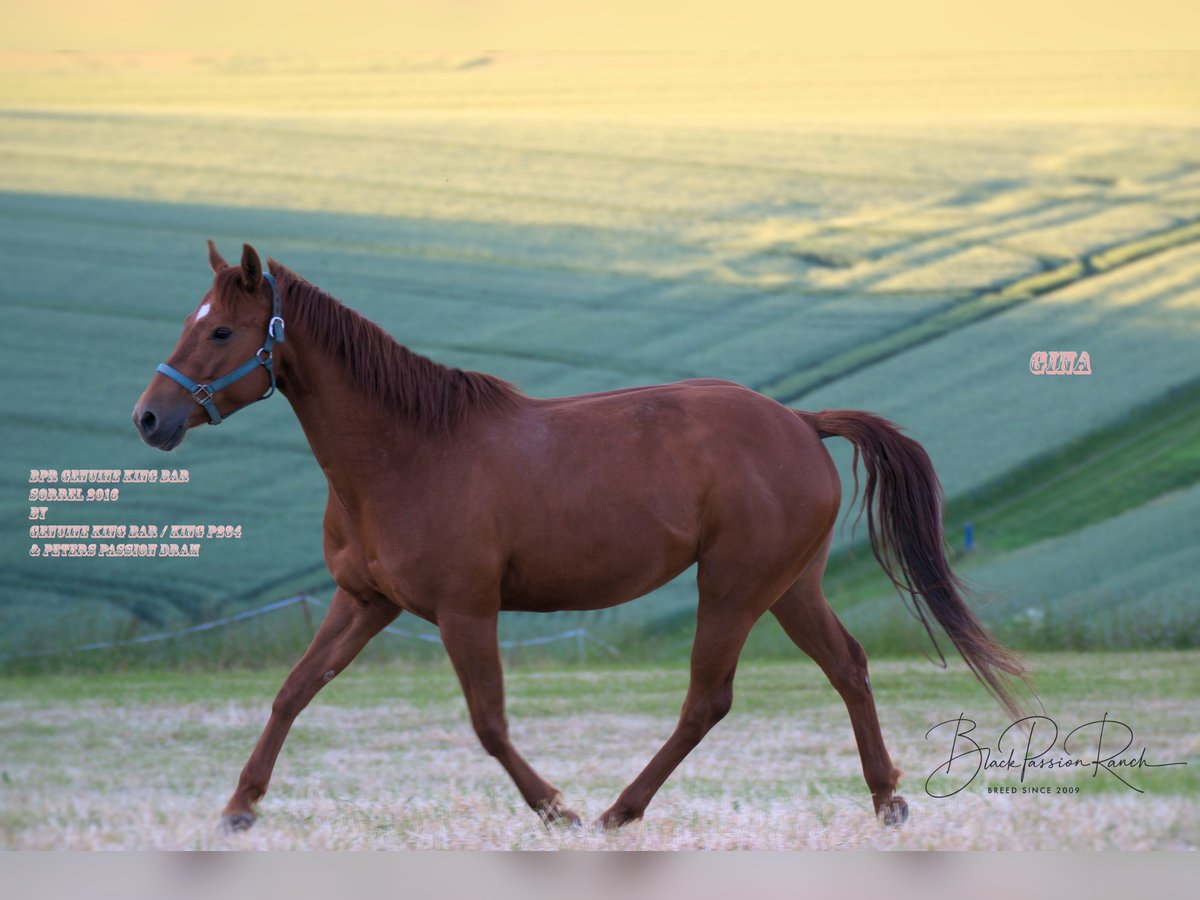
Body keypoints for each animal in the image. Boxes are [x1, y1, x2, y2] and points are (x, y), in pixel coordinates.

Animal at [133, 243, 1022, 835]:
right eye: (189, 322)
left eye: (221, 333)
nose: (149, 418)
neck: (406, 452)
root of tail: (801, 421)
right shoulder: (365, 602)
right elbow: (292, 690)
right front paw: (238, 807)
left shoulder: (465, 612)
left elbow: (488, 723)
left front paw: (554, 807)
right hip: (789, 587)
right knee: (849, 669)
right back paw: (887, 800)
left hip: (734, 588)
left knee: (708, 699)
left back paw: (617, 811)